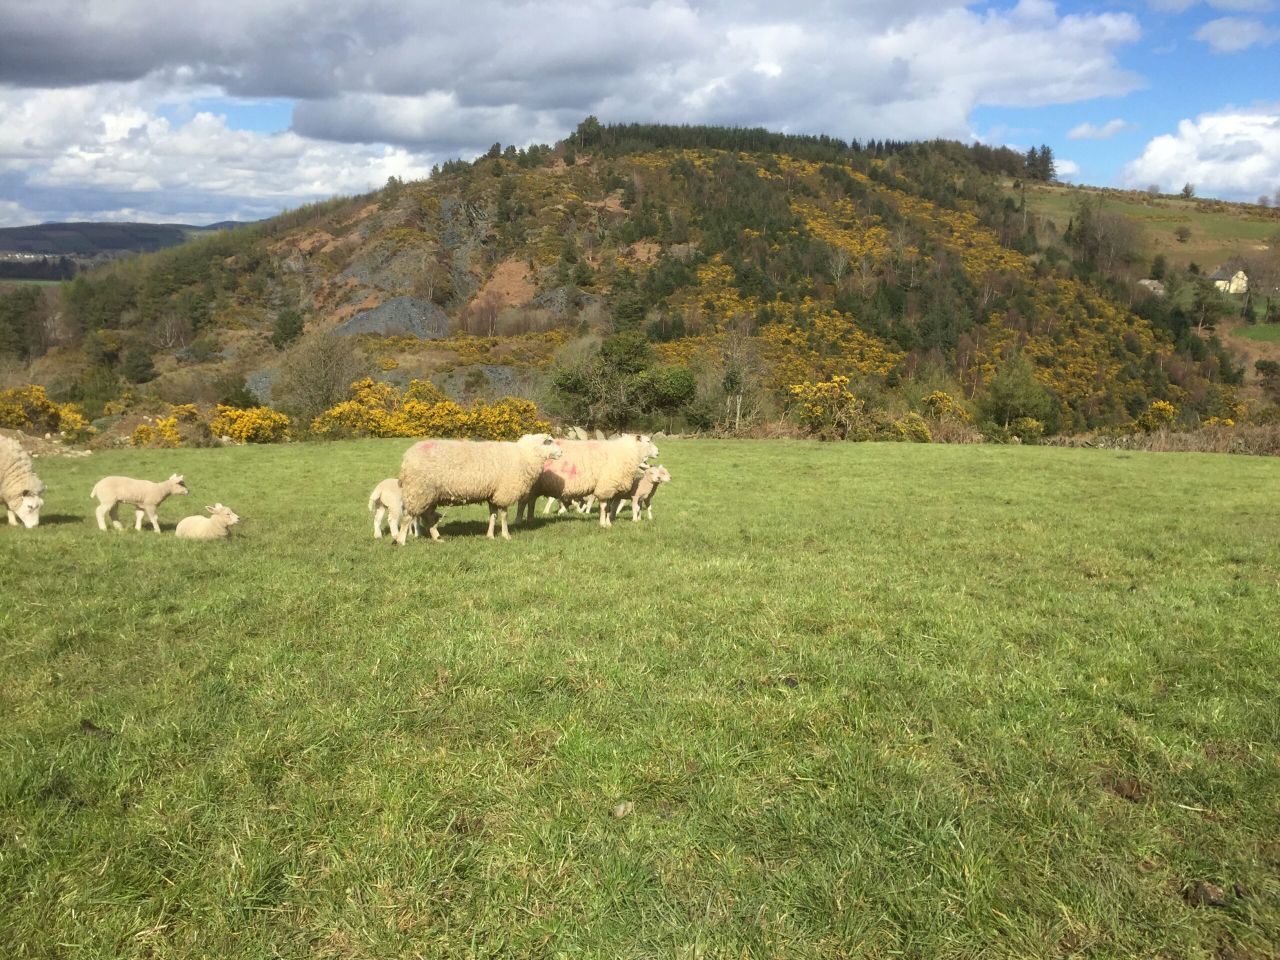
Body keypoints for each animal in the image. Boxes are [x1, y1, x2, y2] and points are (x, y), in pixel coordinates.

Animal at [395, 433, 563, 544]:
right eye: (549, 441)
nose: (561, 452)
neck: (524, 455)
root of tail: (406, 458)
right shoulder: (504, 492)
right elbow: (504, 516)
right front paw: (506, 535)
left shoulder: (493, 494)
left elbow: (493, 516)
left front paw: (490, 535)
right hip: (418, 490)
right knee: (407, 517)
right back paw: (401, 541)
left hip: (429, 495)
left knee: (427, 517)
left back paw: (437, 538)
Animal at [517, 434, 659, 528]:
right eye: (648, 441)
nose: (658, 452)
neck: (625, 452)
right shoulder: (605, 486)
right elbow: (604, 507)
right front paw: (603, 524)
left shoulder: (610, 489)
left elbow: (608, 508)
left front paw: (608, 523)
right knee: (523, 503)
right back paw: (519, 520)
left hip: (535, 486)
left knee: (530, 502)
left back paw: (530, 520)